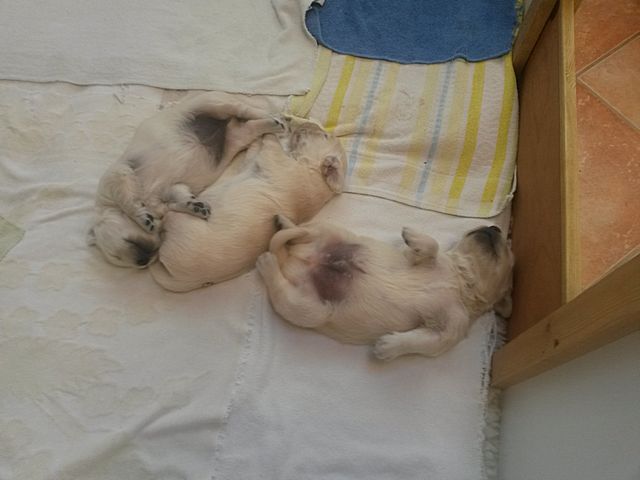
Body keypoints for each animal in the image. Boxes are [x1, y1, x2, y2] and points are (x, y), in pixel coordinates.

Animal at [88, 92, 285, 268]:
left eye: (116, 254)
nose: (143, 261)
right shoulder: (173, 189)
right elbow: (180, 198)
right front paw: (196, 206)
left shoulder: (118, 176)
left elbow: (129, 201)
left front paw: (144, 218)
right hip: (237, 137)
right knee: (250, 126)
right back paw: (272, 125)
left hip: (209, 103)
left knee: (241, 109)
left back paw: (276, 119)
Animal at [149, 121, 346, 292]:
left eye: (324, 135)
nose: (304, 123)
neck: (315, 173)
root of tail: (179, 279)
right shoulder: (255, 161)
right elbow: (253, 151)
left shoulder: (278, 162)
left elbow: (271, 145)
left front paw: (271, 131)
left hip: (178, 221)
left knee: (167, 212)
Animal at [256, 218, 514, 360]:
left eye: (509, 250)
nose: (495, 227)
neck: (460, 280)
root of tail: (297, 260)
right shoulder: (418, 257)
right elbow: (432, 245)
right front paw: (412, 235)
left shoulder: (452, 329)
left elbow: (426, 342)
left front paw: (387, 347)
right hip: (334, 232)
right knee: (305, 231)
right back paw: (283, 223)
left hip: (310, 308)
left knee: (283, 289)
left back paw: (268, 263)